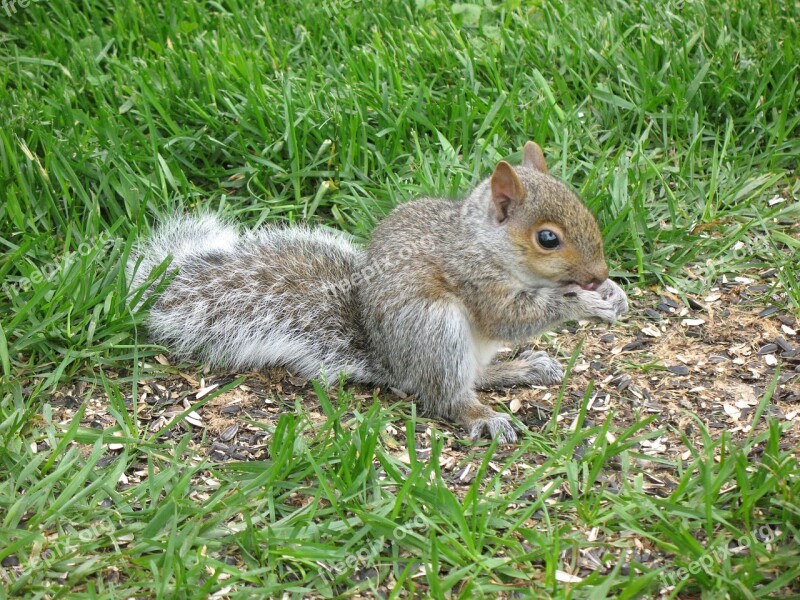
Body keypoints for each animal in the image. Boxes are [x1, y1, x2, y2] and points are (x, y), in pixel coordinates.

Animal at [128, 141, 628, 440]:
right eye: (547, 239)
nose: (597, 273)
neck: (482, 241)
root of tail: (391, 363)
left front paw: (614, 294)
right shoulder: (473, 278)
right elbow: (512, 316)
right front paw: (585, 303)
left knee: (477, 376)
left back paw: (523, 367)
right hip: (435, 327)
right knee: (447, 395)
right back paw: (484, 416)